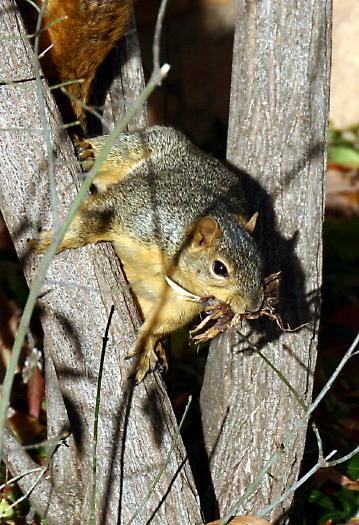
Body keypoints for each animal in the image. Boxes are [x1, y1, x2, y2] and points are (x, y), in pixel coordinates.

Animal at [26, 0, 264, 380]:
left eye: (260, 261)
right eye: (220, 268)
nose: (254, 306)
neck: (175, 267)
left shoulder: (180, 302)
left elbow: (161, 323)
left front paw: (147, 346)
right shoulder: (137, 213)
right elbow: (93, 219)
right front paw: (56, 241)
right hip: (139, 146)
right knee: (111, 152)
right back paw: (88, 151)